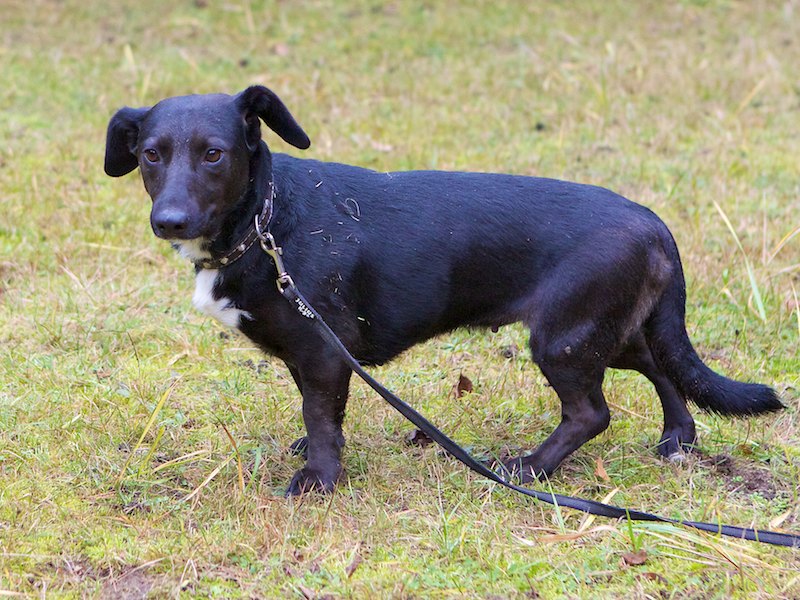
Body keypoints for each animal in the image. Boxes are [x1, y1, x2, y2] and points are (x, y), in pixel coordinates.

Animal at [104, 86, 782, 495]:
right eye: (151, 155)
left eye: (214, 155)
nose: (169, 221)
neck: (266, 222)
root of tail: (651, 220)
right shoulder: (311, 354)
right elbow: (316, 412)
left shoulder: (323, 351)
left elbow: (321, 417)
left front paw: (319, 479)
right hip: (603, 330)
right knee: (660, 365)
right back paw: (677, 440)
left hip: (563, 338)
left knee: (592, 413)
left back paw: (529, 468)